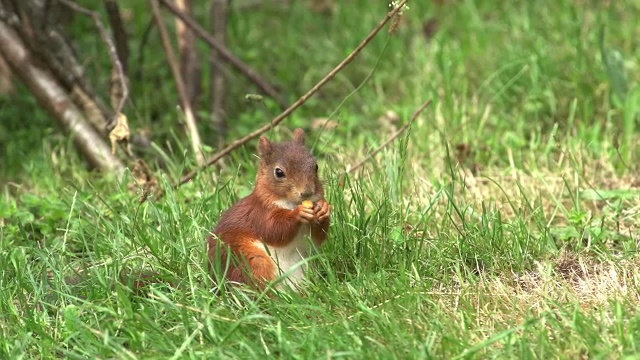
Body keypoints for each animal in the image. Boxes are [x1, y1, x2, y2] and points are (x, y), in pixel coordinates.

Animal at [209, 128, 332, 292]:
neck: (290, 204)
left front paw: (324, 209)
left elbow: (317, 237)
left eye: (316, 166)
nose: (307, 193)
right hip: (252, 262)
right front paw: (298, 214)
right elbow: (273, 230)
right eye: (279, 172)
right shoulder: (259, 214)